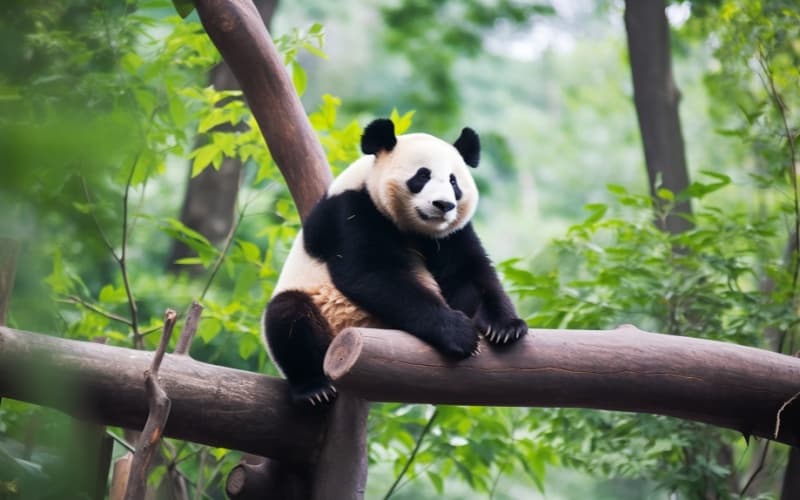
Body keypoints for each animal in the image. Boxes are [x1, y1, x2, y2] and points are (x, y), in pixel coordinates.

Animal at [263, 118, 528, 405]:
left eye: (453, 181)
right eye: (422, 176)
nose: (443, 204)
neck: (415, 229)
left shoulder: (451, 234)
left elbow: (469, 273)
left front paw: (505, 327)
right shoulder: (351, 212)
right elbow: (372, 275)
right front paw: (459, 333)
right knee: (288, 317)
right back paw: (314, 388)